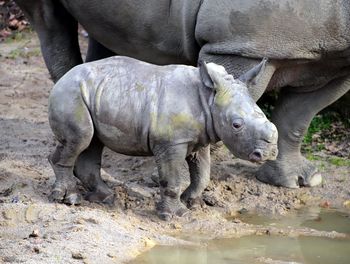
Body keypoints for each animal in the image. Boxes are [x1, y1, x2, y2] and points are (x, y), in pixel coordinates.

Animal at [15, 1, 350, 189]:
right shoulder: (239, 44)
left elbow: (297, 118)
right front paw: (167, 177)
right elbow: (228, 101)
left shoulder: (337, 63)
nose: (263, 153)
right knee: (48, 18)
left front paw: (294, 181)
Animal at [48, 56, 278, 221]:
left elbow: (202, 174)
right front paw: (177, 215)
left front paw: (191, 202)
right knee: (81, 139)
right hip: (70, 94)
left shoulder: (201, 138)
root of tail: (62, 78)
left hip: (96, 93)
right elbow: (173, 178)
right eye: (236, 125)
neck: (209, 98)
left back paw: (106, 198)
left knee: (92, 142)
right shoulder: (171, 143)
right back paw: (68, 199)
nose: (269, 153)